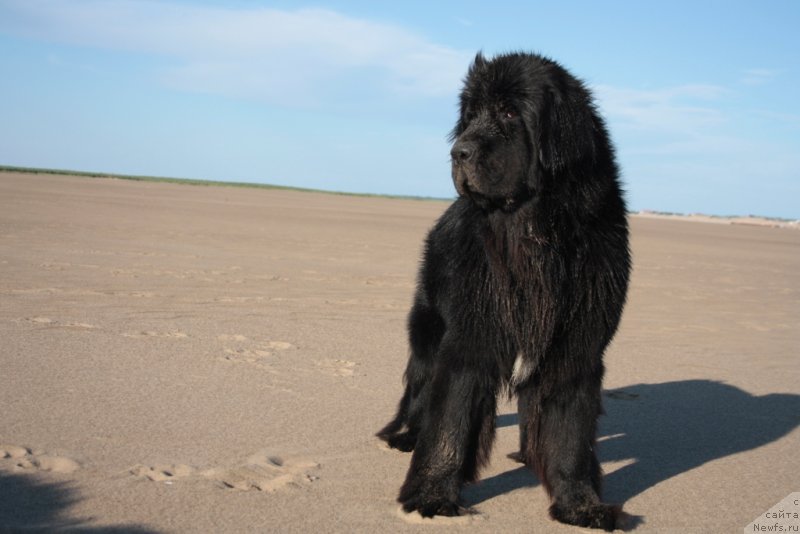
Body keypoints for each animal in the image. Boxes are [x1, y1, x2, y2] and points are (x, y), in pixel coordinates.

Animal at [376, 51, 632, 532]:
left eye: (511, 113)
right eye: (471, 116)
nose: (458, 151)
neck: (534, 232)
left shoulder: (577, 347)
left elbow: (570, 432)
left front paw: (579, 505)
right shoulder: (469, 338)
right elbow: (450, 421)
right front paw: (430, 496)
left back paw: (530, 456)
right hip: (427, 332)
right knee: (419, 390)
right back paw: (403, 436)